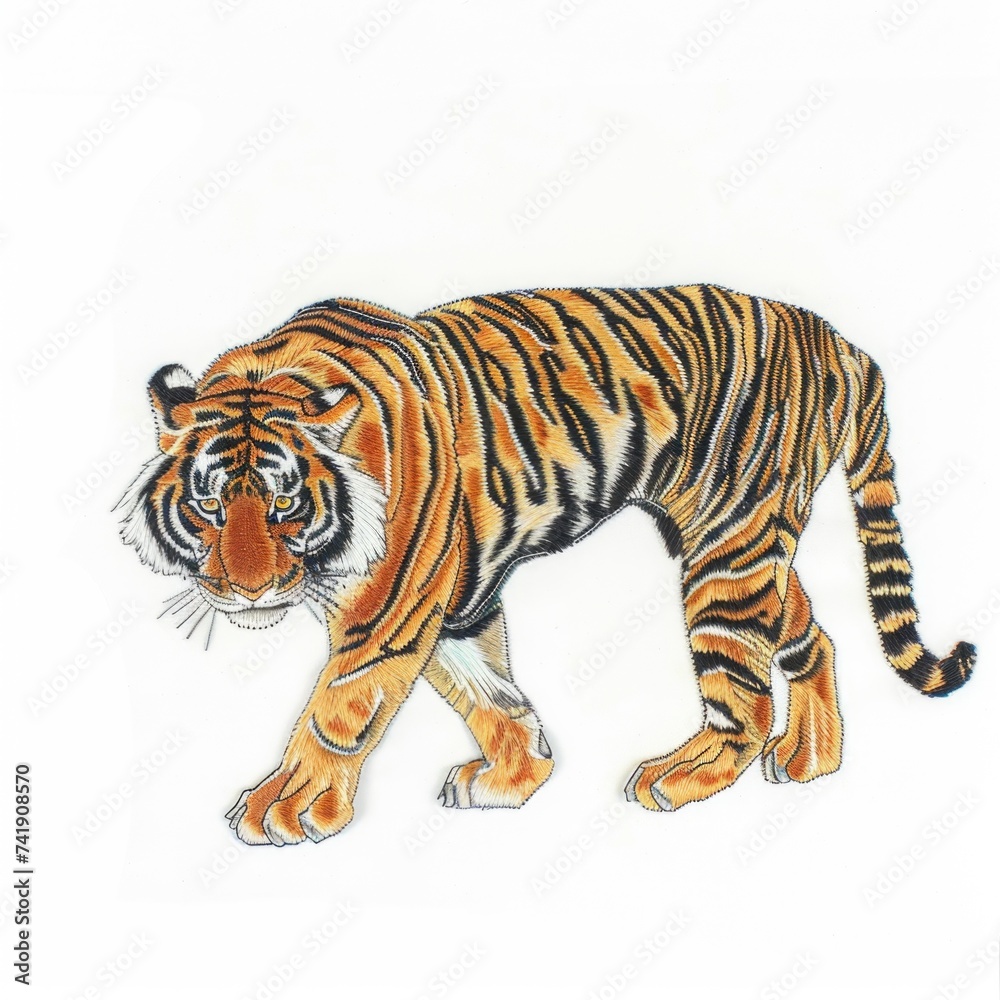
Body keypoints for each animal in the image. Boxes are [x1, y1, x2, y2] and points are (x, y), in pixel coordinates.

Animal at [117, 284, 975, 846]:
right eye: (209, 505)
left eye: (287, 503)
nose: (249, 590)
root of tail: (837, 339)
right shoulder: (454, 599)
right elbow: (489, 693)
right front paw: (515, 777)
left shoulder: (391, 608)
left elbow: (339, 710)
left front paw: (286, 811)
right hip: (742, 542)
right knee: (810, 635)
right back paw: (812, 760)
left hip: (726, 558)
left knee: (742, 698)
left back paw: (679, 776)